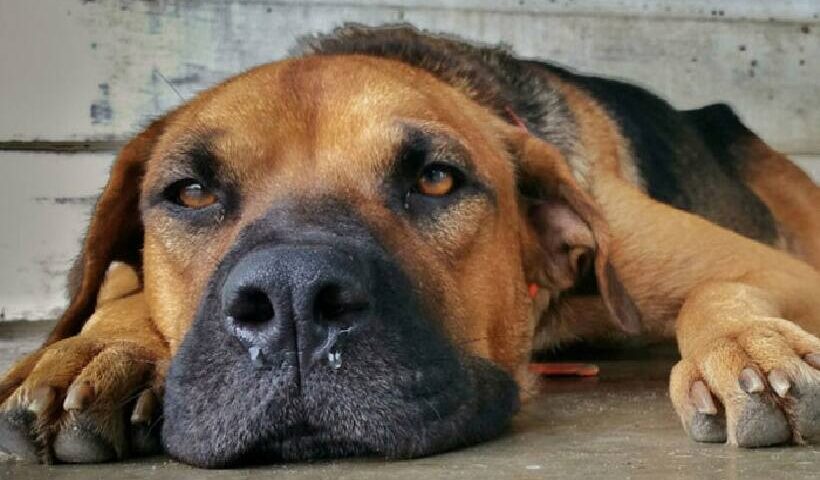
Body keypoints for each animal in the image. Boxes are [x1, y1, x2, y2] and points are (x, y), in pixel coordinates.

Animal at [1, 25, 820, 464]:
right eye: (192, 193)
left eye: (435, 179)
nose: (294, 301)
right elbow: (118, 289)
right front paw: (94, 349)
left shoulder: (779, 270)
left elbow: (721, 286)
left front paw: (749, 347)